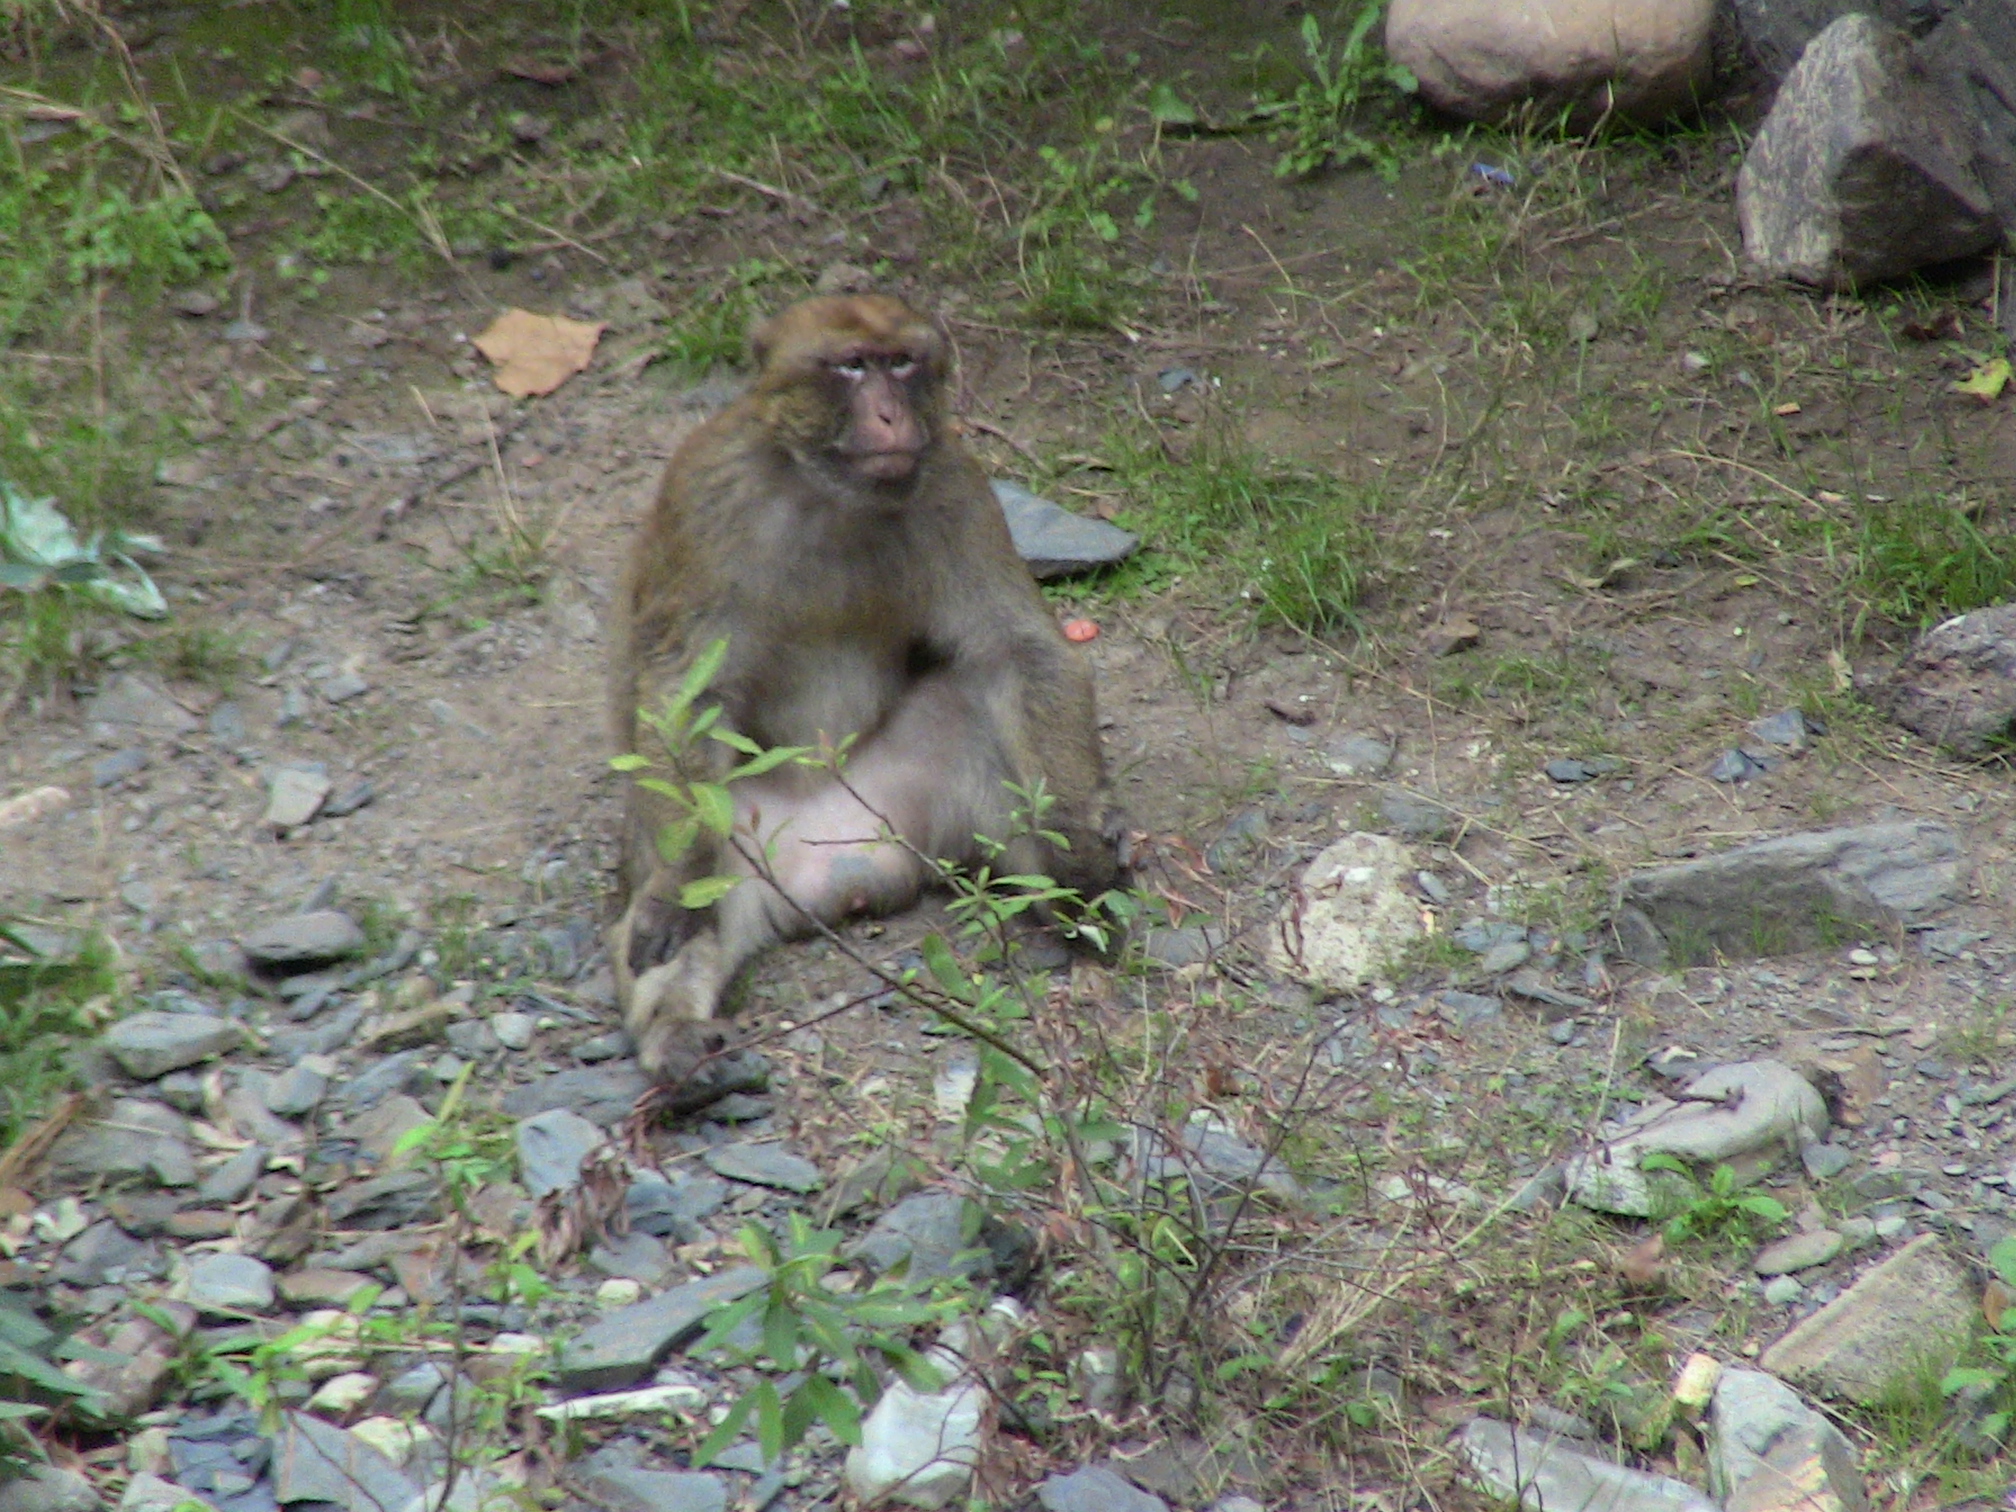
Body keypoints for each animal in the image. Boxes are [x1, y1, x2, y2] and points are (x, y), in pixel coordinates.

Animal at [608, 293, 1124, 1086]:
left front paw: (1079, 851)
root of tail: (837, 869)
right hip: (741, 837)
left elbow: (1021, 650)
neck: (828, 493)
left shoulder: (955, 485)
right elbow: (683, 687)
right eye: (852, 365)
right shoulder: (709, 492)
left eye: (901, 362)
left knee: (974, 704)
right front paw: (674, 893)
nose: (891, 415)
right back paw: (678, 1039)